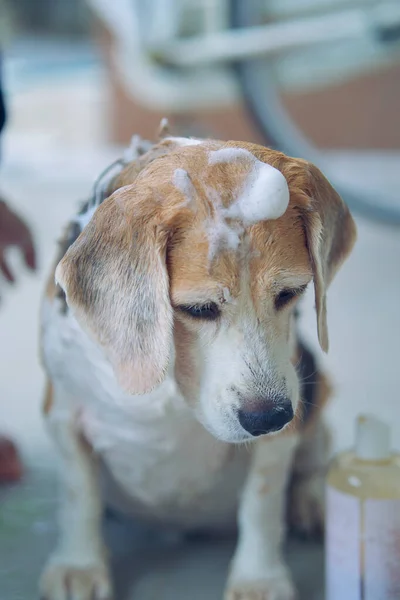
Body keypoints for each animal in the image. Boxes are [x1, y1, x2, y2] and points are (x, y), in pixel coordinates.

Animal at [38, 127, 356, 600]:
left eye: (290, 293)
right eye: (199, 309)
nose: (270, 417)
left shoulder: (283, 432)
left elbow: (262, 504)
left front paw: (258, 579)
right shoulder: (62, 411)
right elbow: (80, 494)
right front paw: (79, 564)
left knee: (312, 461)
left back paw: (311, 503)